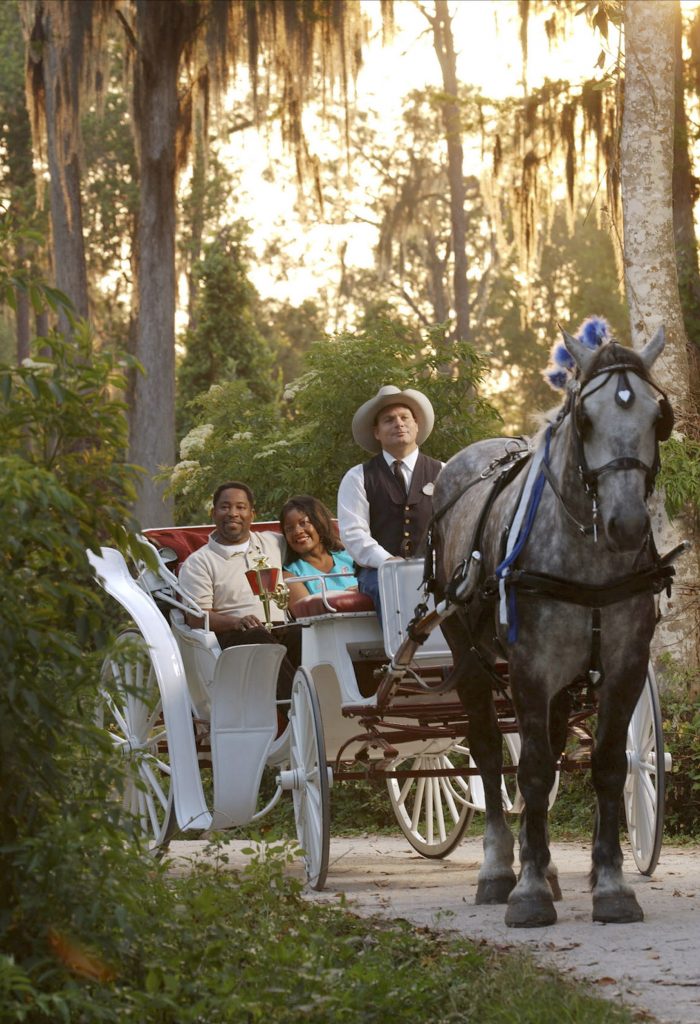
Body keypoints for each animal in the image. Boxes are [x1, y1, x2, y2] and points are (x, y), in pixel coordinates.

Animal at [433, 325, 675, 929]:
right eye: (584, 419)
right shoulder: (530, 668)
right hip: (469, 657)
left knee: (555, 740)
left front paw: (609, 883)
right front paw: (527, 893)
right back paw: (500, 868)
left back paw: (538, 862)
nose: (626, 523)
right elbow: (534, 769)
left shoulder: (625, 665)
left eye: (658, 417)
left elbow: (608, 764)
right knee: (490, 749)